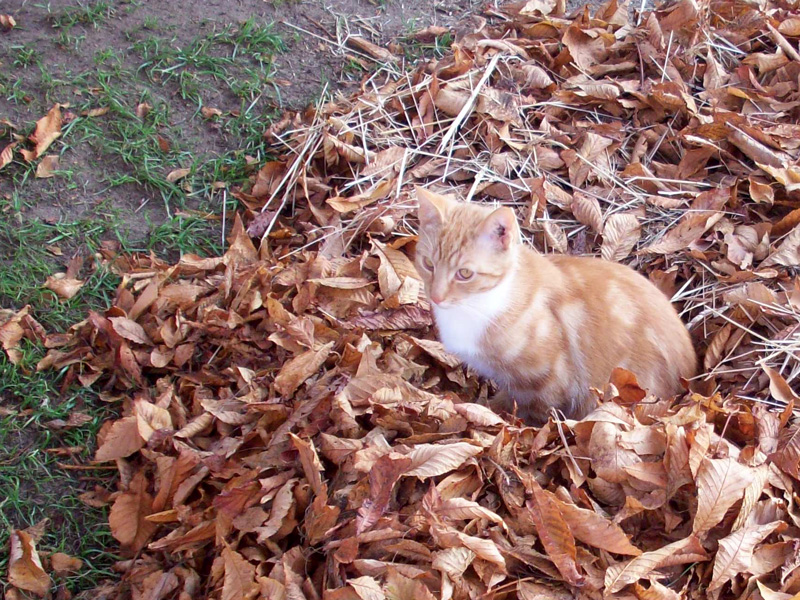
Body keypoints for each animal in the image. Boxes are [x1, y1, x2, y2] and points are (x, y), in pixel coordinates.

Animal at [413, 186, 697, 424]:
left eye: (464, 273)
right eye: (428, 264)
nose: (436, 296)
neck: (477, 306)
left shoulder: (549, 378)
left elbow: (532, 409)